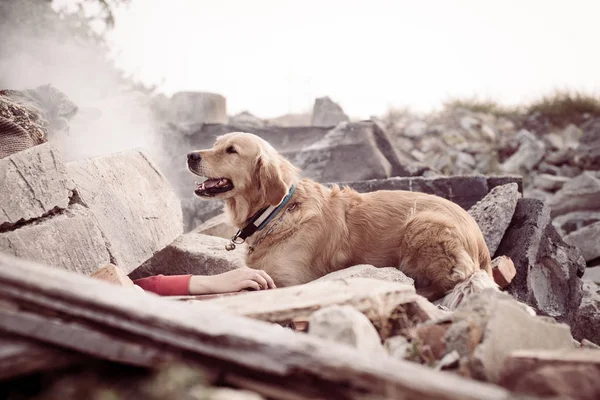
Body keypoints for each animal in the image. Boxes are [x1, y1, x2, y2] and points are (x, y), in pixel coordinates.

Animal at [186, 133, 496, 308]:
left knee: (450, 280)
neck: (274, 212)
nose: (190, 155)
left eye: (232, 150)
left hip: (422, 223)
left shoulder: (292, 281)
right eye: (215, 144)